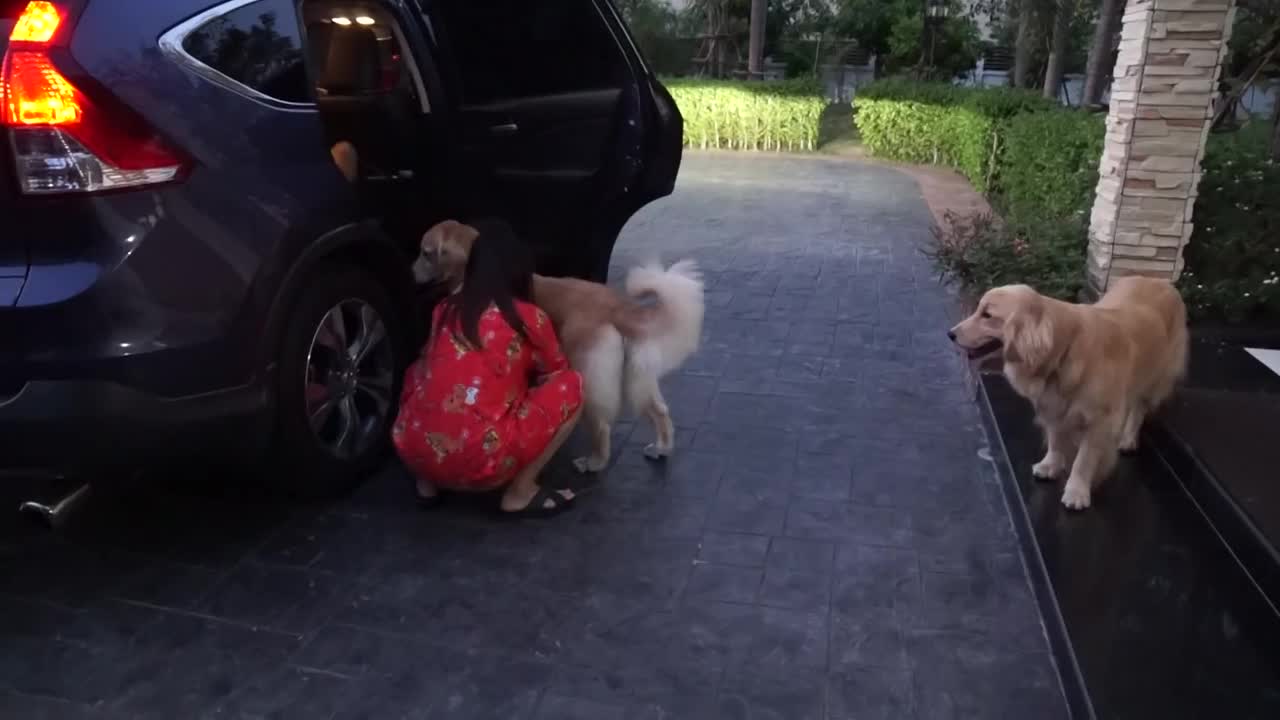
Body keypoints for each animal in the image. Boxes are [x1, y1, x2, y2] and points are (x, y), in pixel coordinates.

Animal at [412, 221, 706, 474]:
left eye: (426, 253)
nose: (411, 272)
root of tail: (616, 306)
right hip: (636, 374)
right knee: (659, 411)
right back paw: (662, 447)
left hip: (589, 375)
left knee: (601, 426)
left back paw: (594, 462)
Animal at [952, 275, 1187, 509]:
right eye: (978, 309)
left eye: (987, 315)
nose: (950, 334)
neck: (1064, 352)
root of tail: (1159, 280)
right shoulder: (1053, 406)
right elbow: (1055, 440)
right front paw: (1050, 465)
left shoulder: (1099, 420)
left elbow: (1084, 460)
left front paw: (1077, 491)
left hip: (1156, 376)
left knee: (1139, 407)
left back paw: (1128, 439)